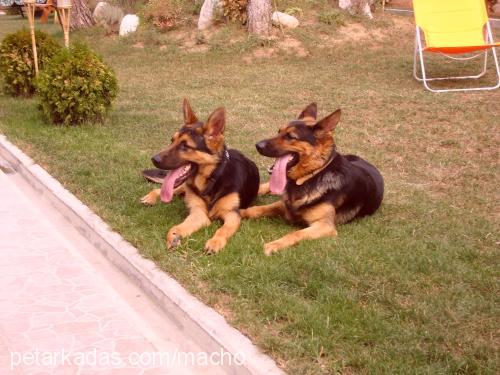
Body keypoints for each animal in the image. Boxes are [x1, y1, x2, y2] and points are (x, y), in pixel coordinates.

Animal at [240, 103, 384, 256]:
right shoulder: (284, 204)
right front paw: (240, 212)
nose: (257, 145)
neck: (312, 175)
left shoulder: (324, 226)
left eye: (290, 136)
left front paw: (274, 244)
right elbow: (256, 209)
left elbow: (296, 233)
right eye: (279, 131)